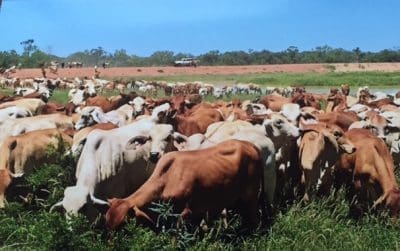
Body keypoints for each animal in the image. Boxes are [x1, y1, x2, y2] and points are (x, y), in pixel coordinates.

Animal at [104, 139, 264, 229]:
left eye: (123, 224)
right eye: (107, 222)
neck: (166, 178)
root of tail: (252, 146)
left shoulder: (187, 212)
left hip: (252, 192)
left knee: (254, 215)